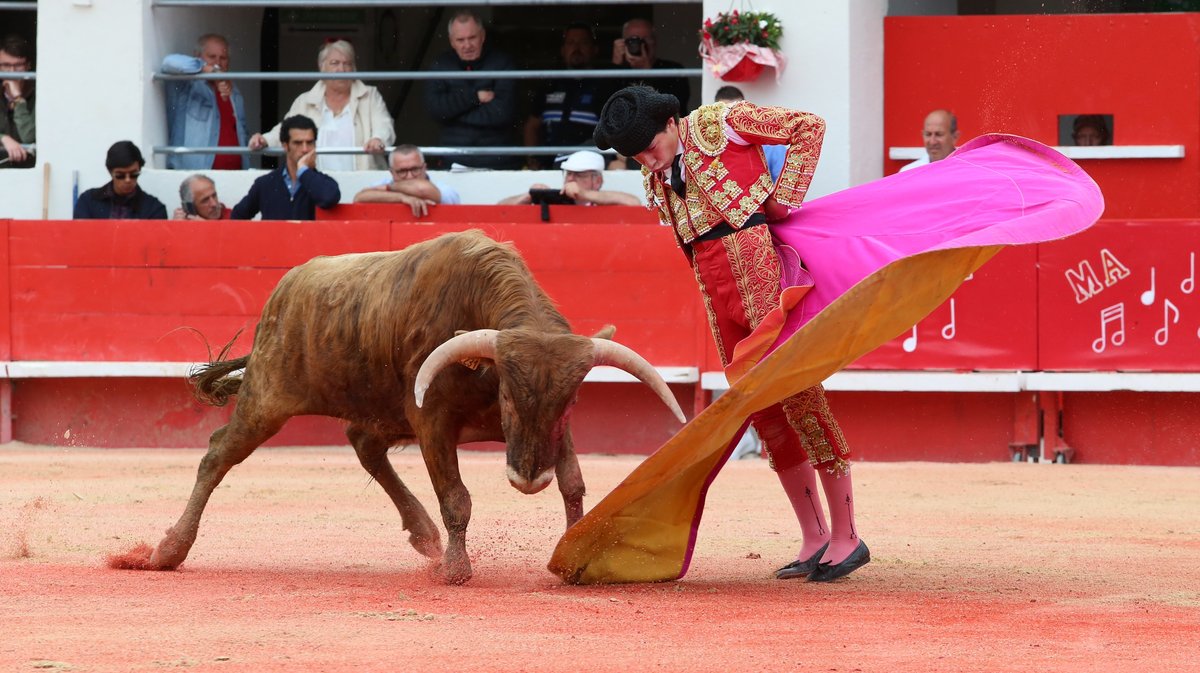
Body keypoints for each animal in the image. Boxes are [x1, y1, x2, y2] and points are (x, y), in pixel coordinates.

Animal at [147, 229, 686, 583]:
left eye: (572, 398)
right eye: (508, 394)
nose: (529, 480)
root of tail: (286, 288)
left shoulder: (554, 432)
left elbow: (573, 483)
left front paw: (572, 553)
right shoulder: (432, 422)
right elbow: (456, 498)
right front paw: (456, 569)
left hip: (376, 409)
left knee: (363, 444)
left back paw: (423, 534)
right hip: (267, 398)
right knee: (218, 454)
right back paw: (169, 550)